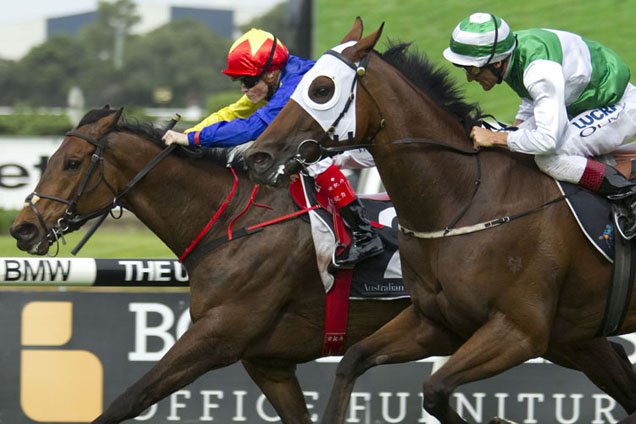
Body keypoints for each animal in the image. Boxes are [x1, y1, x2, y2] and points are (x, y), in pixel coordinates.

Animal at [8, 106, 412, 424]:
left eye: (72, 163)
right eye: (50, 160)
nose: (22, 228)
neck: (233, 222)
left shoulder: (218, 336)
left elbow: (131, 399)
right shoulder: (268, 363)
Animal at [245, 18, 636, 424]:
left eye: (322, 89)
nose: (257, 157)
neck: (465, 198)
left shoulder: (519, 331)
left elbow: (434, 389)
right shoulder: (434, 322)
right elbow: (353, 360)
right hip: (576, 333)